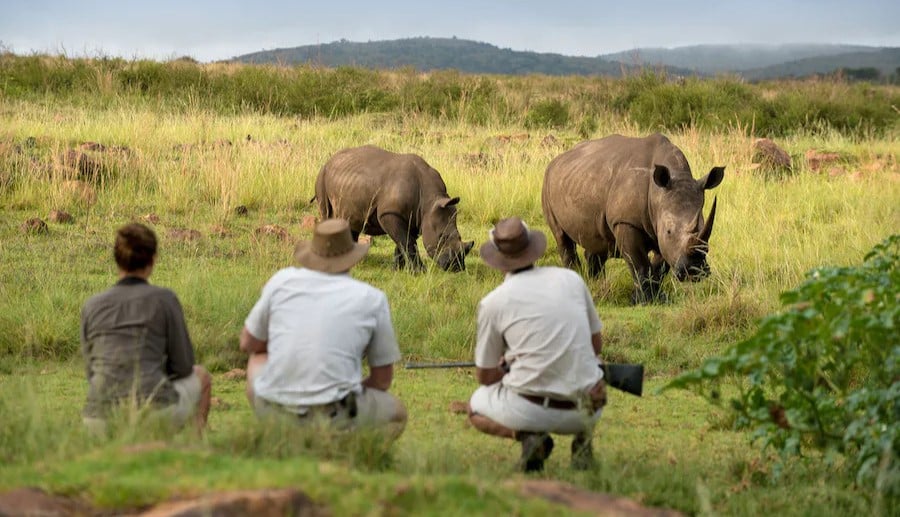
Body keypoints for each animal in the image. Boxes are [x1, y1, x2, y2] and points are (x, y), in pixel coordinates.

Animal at [540, 131, 724, 304]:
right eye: (669, 231)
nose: (694, 271)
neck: (657, 194)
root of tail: (556, 160)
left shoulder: (659, 228)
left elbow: (659, 266)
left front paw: (653, 298)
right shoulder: (626, 222)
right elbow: (640, 263)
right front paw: (644, 301)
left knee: (596, 242)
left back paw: (595, 284)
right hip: (547, 182)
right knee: (562, 238)